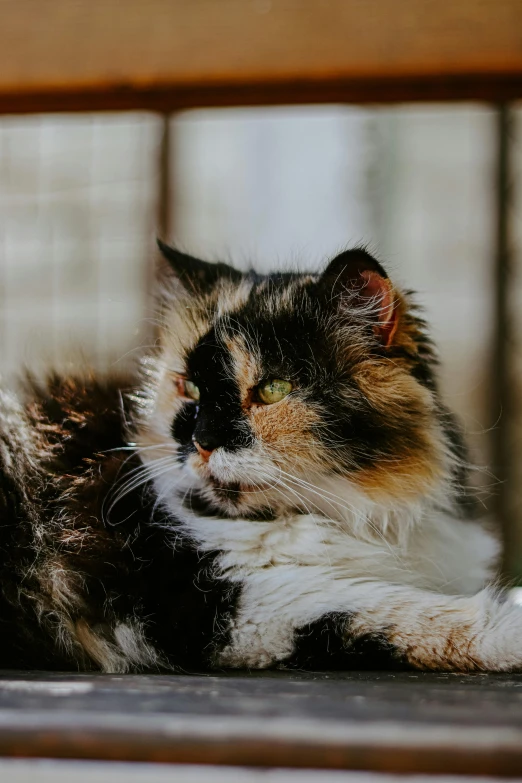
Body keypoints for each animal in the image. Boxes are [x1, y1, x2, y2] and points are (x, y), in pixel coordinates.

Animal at [0, 243, 516, 672]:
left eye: (272, 390)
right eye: (190, 389)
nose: (201, 441)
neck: (351, 516)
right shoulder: (227, 602)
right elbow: (396, 607)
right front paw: (509, 627)